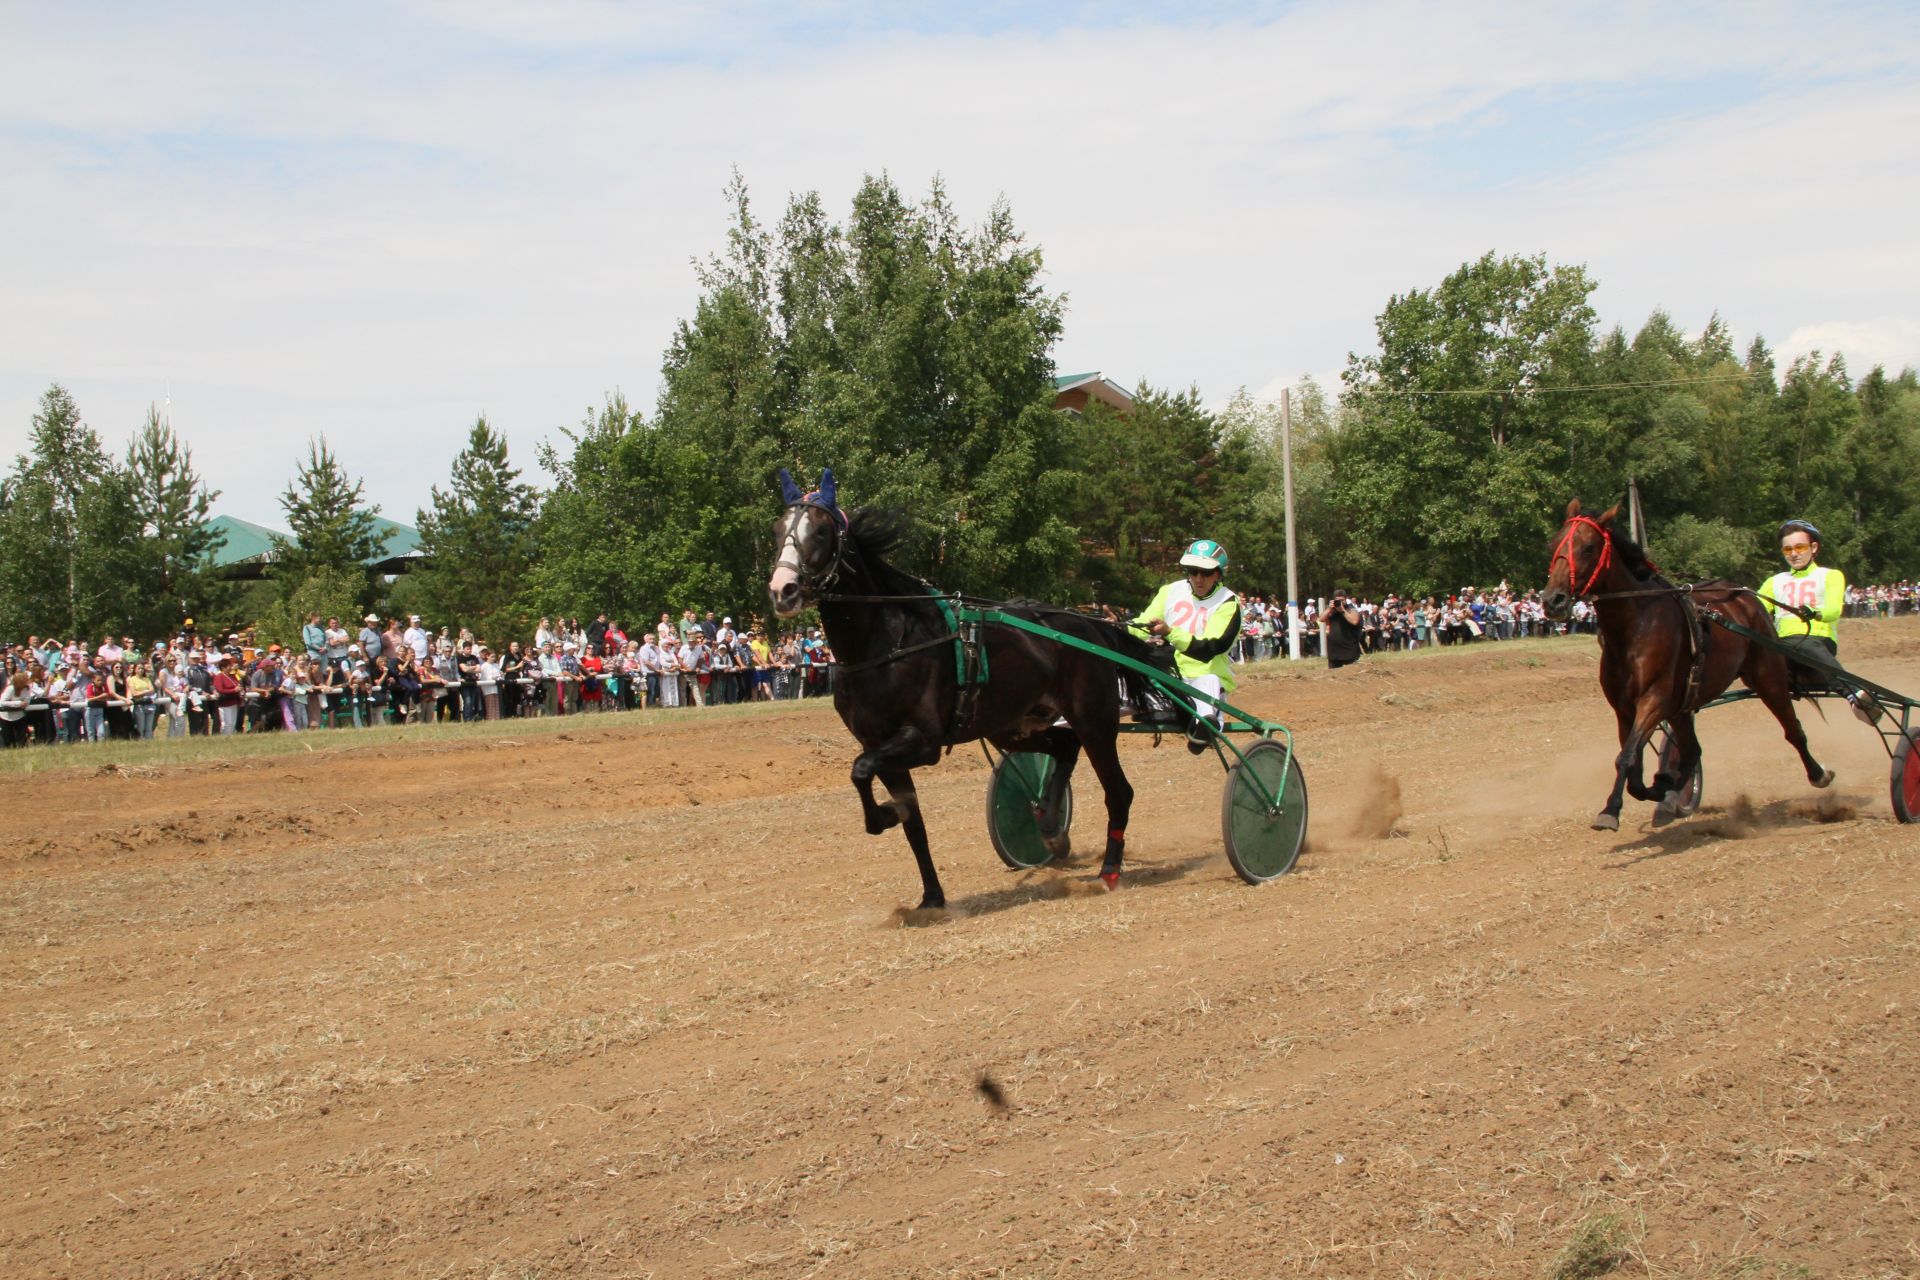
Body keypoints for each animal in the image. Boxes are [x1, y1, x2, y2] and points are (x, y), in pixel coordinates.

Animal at [764, 470, 1167, 909]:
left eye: (820, 531)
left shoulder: (923, 742)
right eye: (778, 530)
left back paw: (1108, 869)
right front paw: (931, 897)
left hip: (1094, 721)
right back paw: (1048, 823)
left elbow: (861, 769)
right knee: (1064, 746)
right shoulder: (881, 743)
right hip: (1012, 725)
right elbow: (909, 820)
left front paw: (885, 815)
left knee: (1118, 791)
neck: (887, 645)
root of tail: (1091, 625)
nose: (782, 589)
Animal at [1543, 498, 1827, 832]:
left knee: (1792, 729)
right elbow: (1633, 764)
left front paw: (1610, 811)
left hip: (1767, 676)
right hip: (1682, 705)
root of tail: (1745, 595)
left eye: (1588, 547)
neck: (1635, 626)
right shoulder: (1624, 708)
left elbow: (1626, 758)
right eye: (1553, 545)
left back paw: (1818, 774)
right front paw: (1658, 786)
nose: (1553, 600)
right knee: (1692, 750)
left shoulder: (1654, 698)